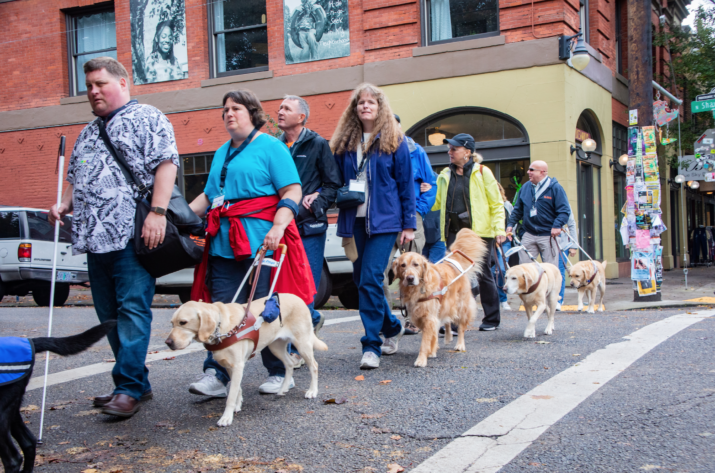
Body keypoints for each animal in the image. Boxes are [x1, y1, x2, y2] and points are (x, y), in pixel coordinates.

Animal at [165, 296, 328, 426]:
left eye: (183, 322)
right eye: (172, 323)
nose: (168, 342)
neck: (222, 327)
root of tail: (299, 298)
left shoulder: (238, 366)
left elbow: (231, 396)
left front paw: (226, 418)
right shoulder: (230, 366)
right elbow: (237, 389)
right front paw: (238, 405)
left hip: (302, 344)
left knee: (314, 366)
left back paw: (312, 391)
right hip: (275, 346)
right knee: (289, 364)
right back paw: (283, 388)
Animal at [392, 228, 486, 366]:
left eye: (416, 264)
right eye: (403, 265)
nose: (410, 278)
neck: (419, 289)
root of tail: (454, 263)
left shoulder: (429, 317)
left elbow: (425, 341)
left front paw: (421, 359)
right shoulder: (421, 315)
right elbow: (432, 334)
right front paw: (432, 351)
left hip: (461, 307)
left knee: (461, 327)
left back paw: (460, 345)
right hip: (445, 306)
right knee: (446, 321)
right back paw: (447, 337)